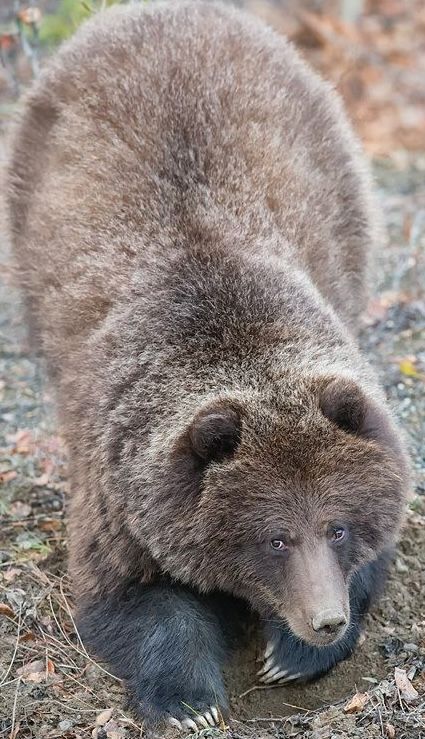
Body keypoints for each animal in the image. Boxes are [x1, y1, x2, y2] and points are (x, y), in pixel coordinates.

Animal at [7, 0, 409, 732]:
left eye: (335, 524)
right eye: (275, 538)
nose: (324, 621)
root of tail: (163, 11)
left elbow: (377, 548)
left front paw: (287, 656)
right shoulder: (123, 489)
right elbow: (132, 599)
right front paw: (189, 701)